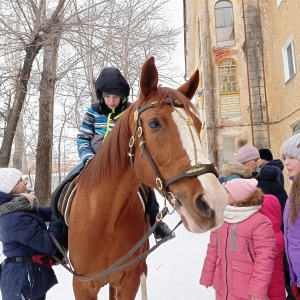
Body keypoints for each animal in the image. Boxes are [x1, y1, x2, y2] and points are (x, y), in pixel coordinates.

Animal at [68, 56, 227, 300]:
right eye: (154, 123)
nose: (214, 201)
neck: (104, 220)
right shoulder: (82, 286)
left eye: (199, 125)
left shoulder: (129, 280)